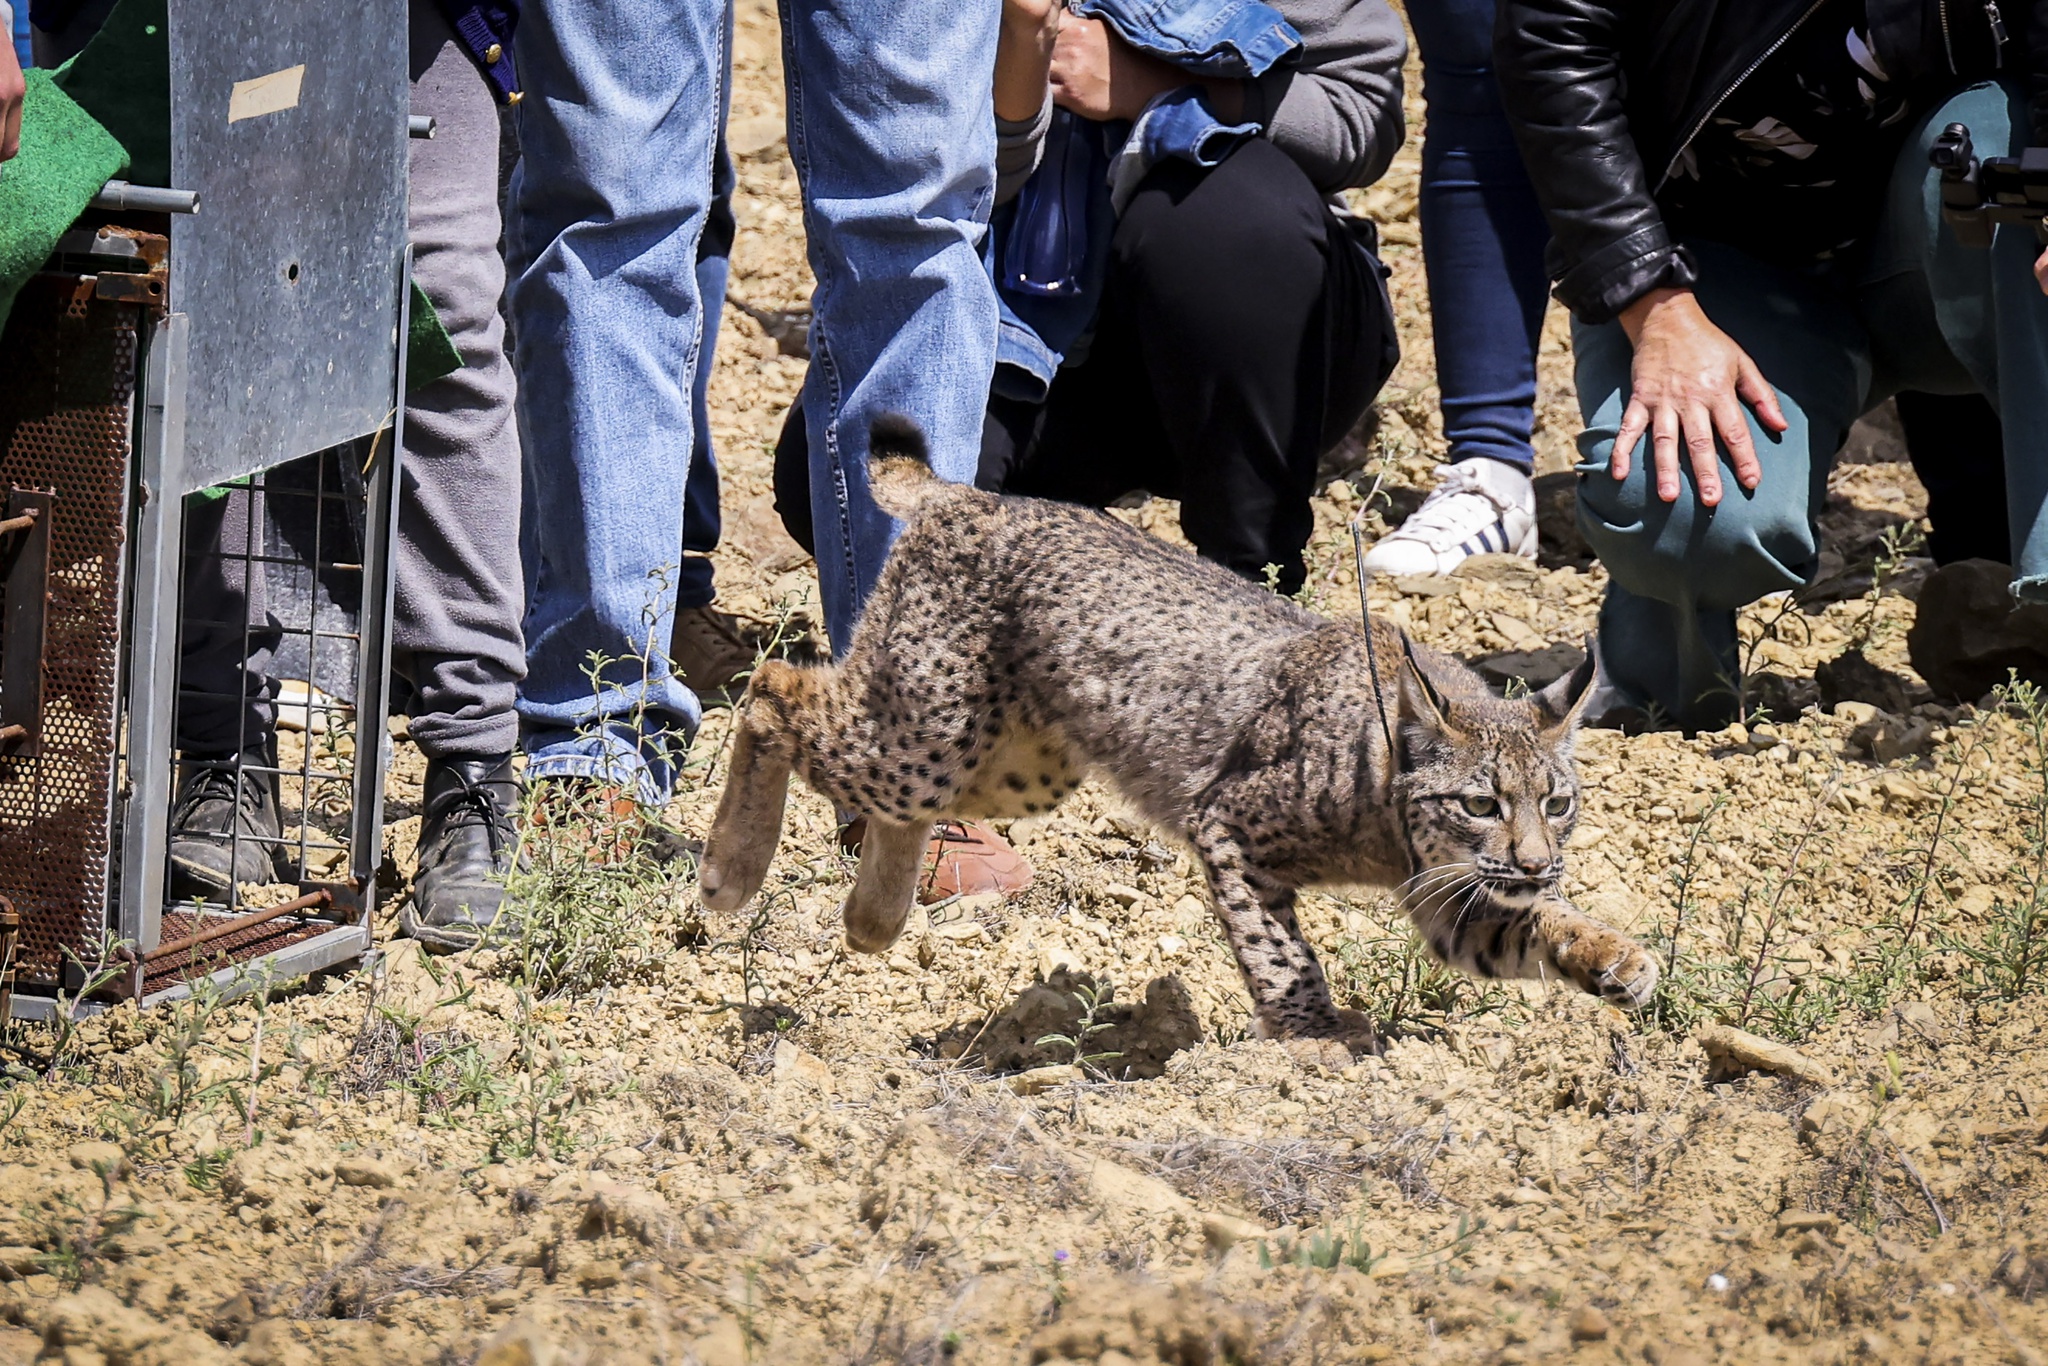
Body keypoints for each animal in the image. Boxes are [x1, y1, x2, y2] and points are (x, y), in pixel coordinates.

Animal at [699, 416, 1657, 1060]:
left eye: (1558, 804)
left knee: (886, 790)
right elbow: (1280, 948)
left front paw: (1614, 956)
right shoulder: (1230, 823)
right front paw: (1313, 1036)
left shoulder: (1445, 895)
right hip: (931, 731)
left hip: (1006, 762)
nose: (1539, 860)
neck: (1386, 805)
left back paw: (870, 922)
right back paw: (730, 875)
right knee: (773, 689)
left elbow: (1525, 927)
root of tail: (969, 493)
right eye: (1480, 804)